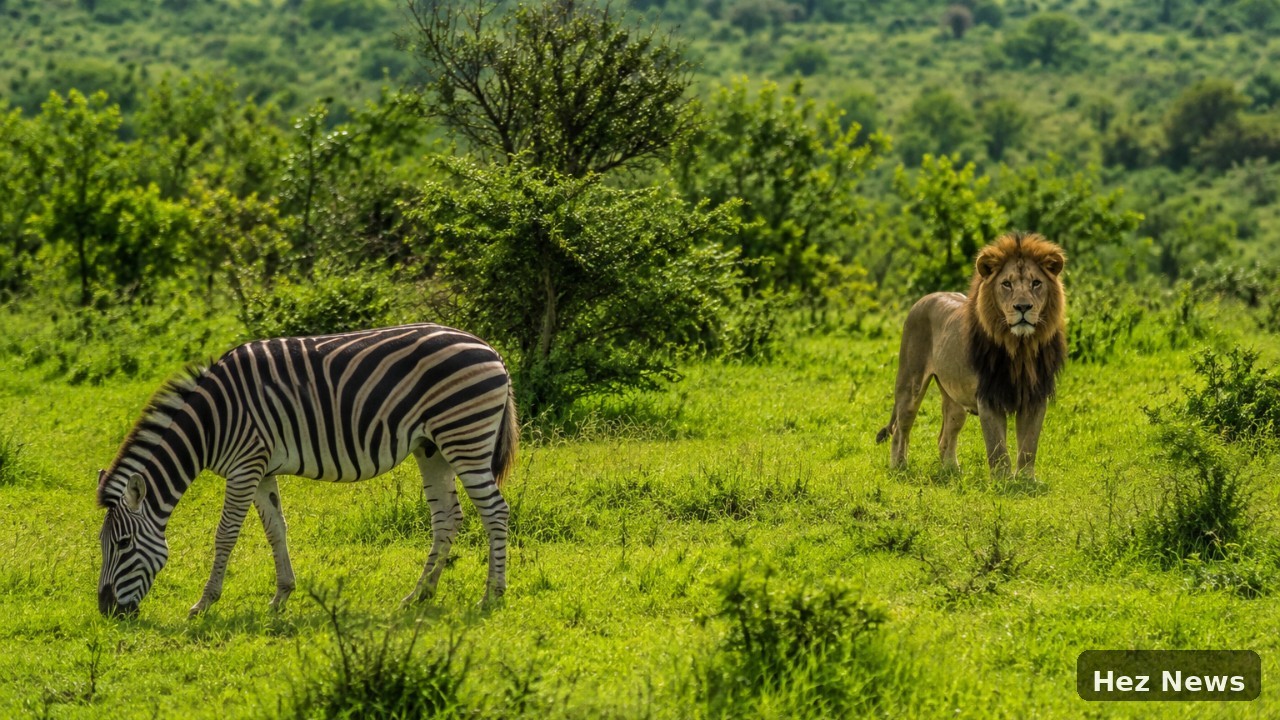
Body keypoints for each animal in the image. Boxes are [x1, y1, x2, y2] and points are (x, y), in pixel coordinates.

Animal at [96, 323, 519, 618]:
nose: (107, 611)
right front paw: (281, 596)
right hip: (432, 448)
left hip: (465, 436)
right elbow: (276, 529)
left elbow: (225, 535)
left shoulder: (244, 466)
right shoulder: (261, 469)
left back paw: (492, 595)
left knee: (495, 512)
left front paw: (205, 603)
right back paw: (420, 594)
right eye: (104, 545)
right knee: (447, 517)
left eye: (123, 544)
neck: (211, 422)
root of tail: (491, 349)